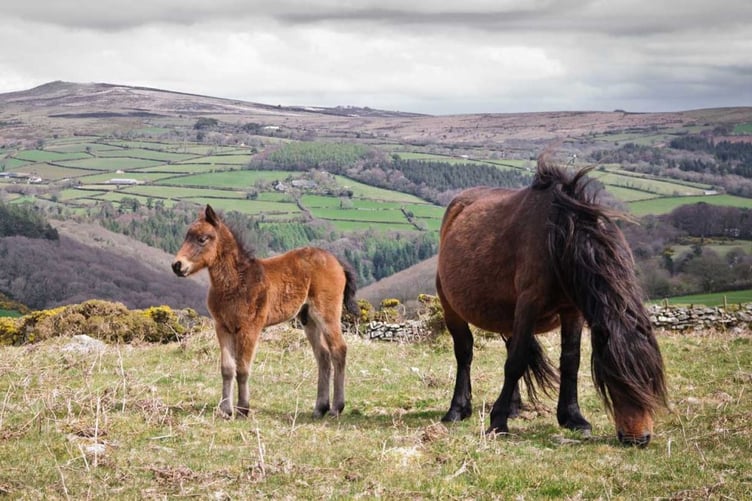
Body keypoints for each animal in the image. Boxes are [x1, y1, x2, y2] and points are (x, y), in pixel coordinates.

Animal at [172, 204, 359, 418]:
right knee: (323, 356)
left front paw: (243, 409)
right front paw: (225, 410)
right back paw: (320, 408)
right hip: (308, 319)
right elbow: (227, 368)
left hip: (327, 313)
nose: (177, 265)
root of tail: (337, 262)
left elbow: (243, 369)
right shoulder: (222, 327)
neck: (236, 282)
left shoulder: (250, 328)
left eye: (202, 239)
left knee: (338, 350)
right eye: (187, 236)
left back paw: (336, 408)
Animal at [436, 157, 667, 446]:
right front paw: (497, 422)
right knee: (465, 352)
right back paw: (458, 409)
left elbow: (570, 361)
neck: (560, 240)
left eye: (652, 379)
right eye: (618, 378)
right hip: (451, 308)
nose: (639, 438)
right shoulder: (528, 304)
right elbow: (515, 361)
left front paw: (573, 418)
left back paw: (514, 407)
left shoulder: (572, 310)